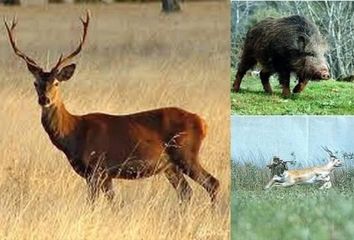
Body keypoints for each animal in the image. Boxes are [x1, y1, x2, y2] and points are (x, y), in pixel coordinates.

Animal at [5, 11, 220, 205]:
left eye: (56, 83)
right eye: (35, 83)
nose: (44, 99)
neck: (74, 133)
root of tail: (203, 122)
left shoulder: (98, 167)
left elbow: (96, 203)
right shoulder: (101, 174)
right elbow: (112, 202)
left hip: (185, 153)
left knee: (212, 183)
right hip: (170, 166)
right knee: (186, 192)